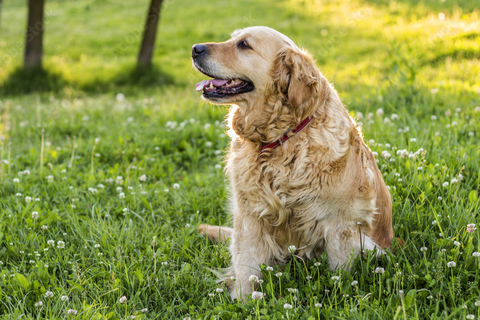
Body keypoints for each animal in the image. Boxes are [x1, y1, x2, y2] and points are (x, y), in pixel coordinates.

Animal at [191, 25, 394, 300]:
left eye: (244, 45)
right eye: (232, 38)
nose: (195, 48)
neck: (280, 140)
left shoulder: (341, 224)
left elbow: (341, 275)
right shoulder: (249, 215)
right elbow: (246, 266)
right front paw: (243, 301)